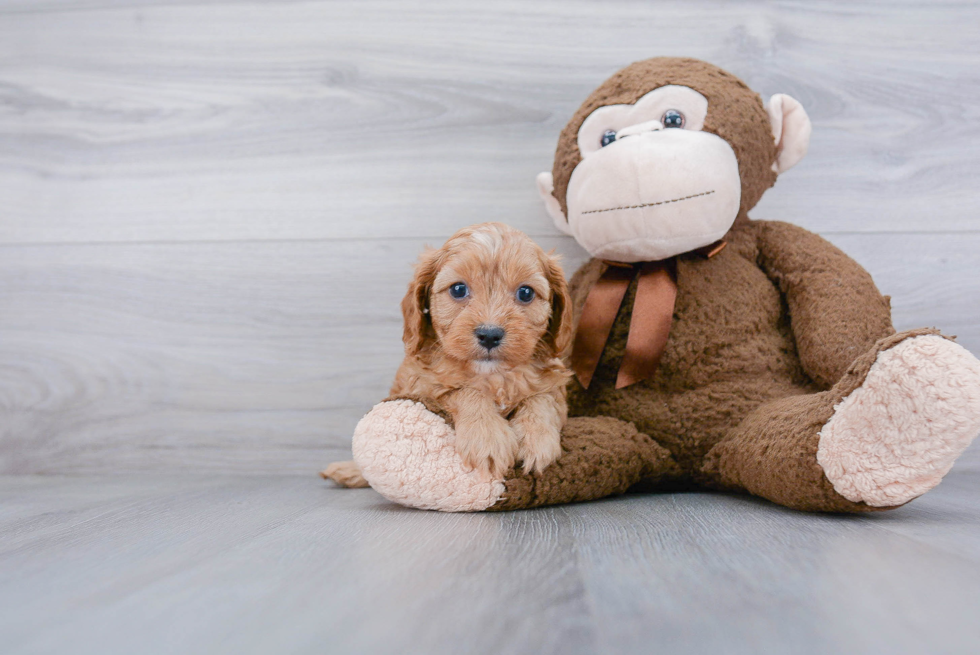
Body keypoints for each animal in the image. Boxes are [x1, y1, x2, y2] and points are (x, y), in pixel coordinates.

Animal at [324, 224, 576, 486]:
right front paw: (486, 437)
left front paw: (535, 438)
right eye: (458, 289)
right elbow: (464, 391)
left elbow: (542, 398)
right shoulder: (423, 387)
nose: (489, 334)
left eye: (526, 293)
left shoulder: (554, 384)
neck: (493, 376)